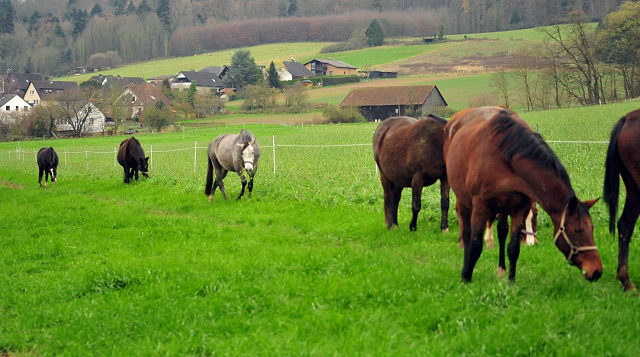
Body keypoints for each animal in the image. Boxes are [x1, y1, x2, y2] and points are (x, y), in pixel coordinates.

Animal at [444, 107, 600, 282]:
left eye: (592, 228)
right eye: (577, 230)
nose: (596, 271)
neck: (506, 159)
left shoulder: (521, 208)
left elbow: (513, 248)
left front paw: (511, 281)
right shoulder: (480, 207)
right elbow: (475, 246)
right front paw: (466, 278)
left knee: (502, 231)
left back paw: (501, 269)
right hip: (464, 199)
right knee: (466, 233)